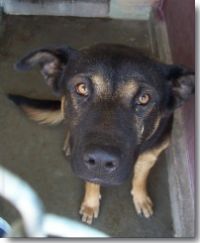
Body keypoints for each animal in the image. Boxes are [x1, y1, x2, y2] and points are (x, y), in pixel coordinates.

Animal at [7, 43, 194, 224]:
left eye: (144, 98)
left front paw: (141, 198)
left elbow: (140, 179)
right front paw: (90, 204)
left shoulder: (149, 157)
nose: (101, 161)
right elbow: (92, 183)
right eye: (82, 88)